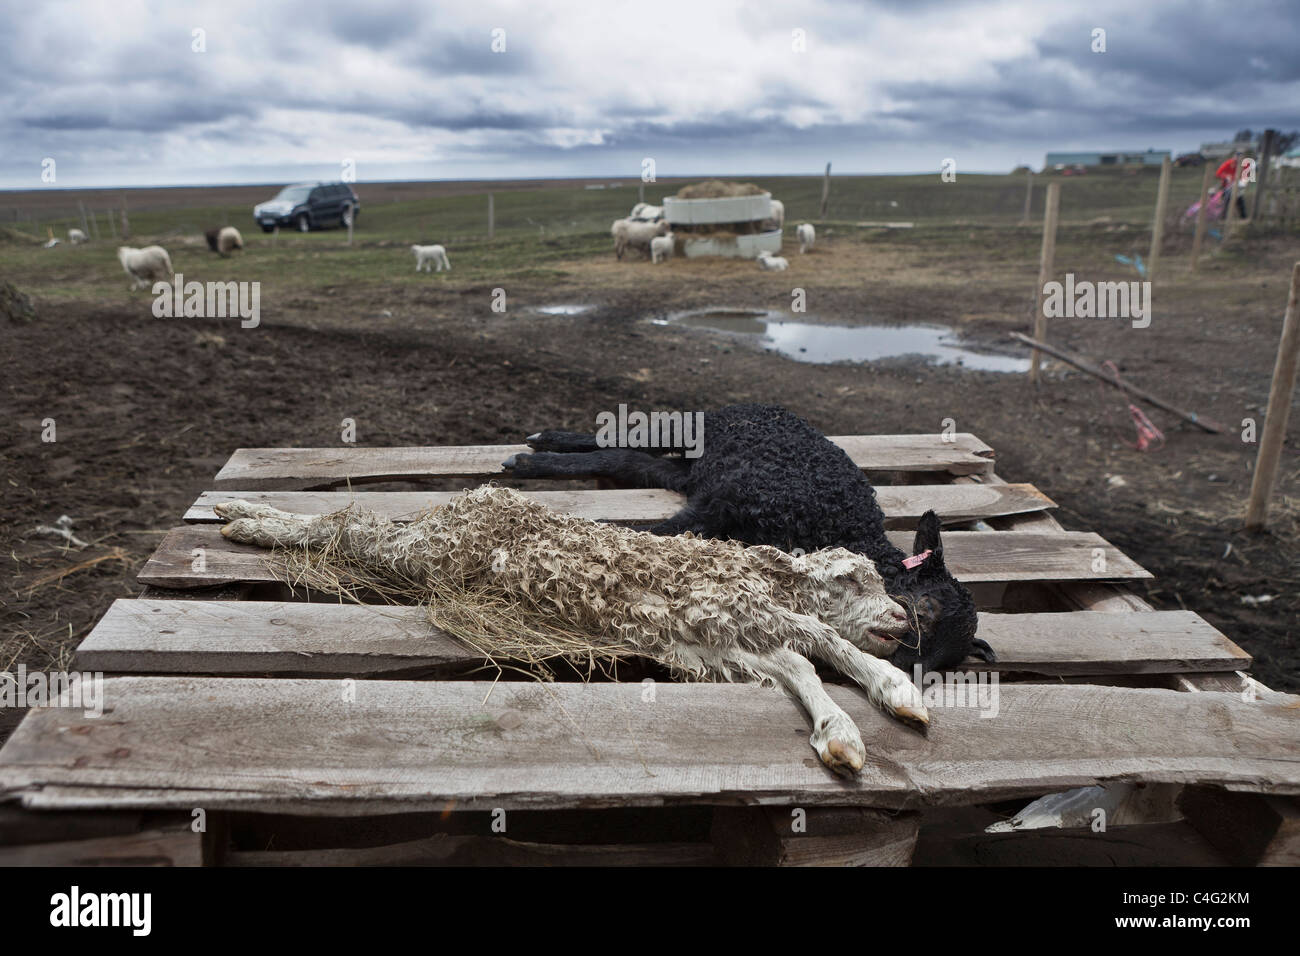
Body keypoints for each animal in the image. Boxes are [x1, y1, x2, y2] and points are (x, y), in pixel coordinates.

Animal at [215, 486, 925, 780]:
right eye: (852, 581)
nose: (902, 617)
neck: (757, 579)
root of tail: (469, 500)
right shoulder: (732, 609)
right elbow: (821, 641)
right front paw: (883, 702)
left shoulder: (721, 640)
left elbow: (801, 663)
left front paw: (860, 717)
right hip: (428, 551)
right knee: (346, 528)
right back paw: (248, 521)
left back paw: (239, 514)